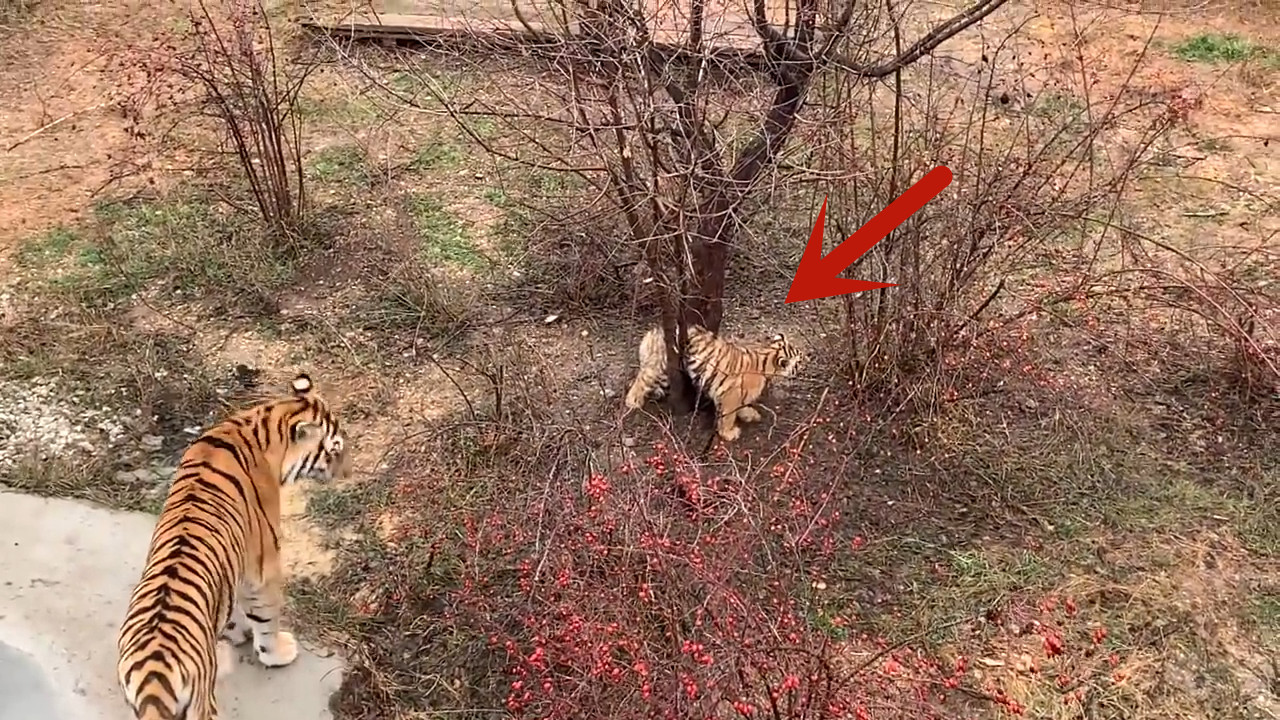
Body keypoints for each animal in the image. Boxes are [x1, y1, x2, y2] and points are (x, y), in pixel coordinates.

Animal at [116, 372, 346, 720]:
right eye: (334, 449)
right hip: (201, 702)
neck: (262, 425)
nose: (348, 472)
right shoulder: (262, 567)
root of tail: (155, 679)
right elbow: (265, 618)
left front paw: (234, 632)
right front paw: (276, 651)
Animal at [624, 324, 802, 441]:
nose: (806, 358)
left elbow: (742, 406)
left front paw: (749, 414)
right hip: (658, 365)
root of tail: (654, 331)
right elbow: (728, 416)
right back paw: (632, 402)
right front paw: (728, 433)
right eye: (799, 360)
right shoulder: (730, 395)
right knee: (640, 380)